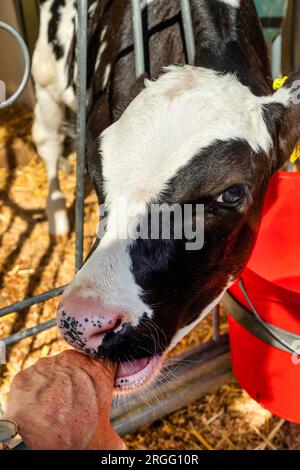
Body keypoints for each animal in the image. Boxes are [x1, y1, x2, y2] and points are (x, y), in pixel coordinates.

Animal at [33, 0, 300, 390]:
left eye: (231, 192)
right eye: (96, 169)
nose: (82, 322)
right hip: (45, 71)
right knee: (47, 139)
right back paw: (55, 214)